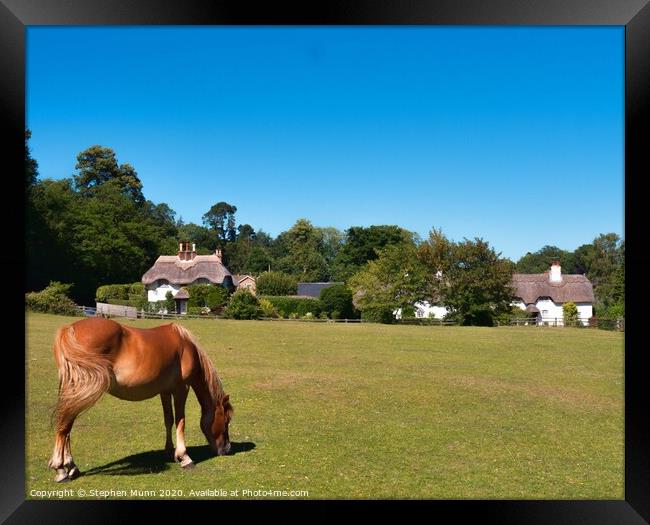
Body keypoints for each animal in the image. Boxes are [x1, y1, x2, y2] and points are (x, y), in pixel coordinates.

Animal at [47, 318, 233, 482]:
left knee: (66, 426)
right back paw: (61, 469)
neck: (185, 345)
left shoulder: (165, 392)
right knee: (65, 424)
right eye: (227, 421)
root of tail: (69, 329)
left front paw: (169, 451)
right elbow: (181, 421)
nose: (227, 449)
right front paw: (185, 457)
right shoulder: (182, 389)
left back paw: (70, 467)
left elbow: (169, 419)